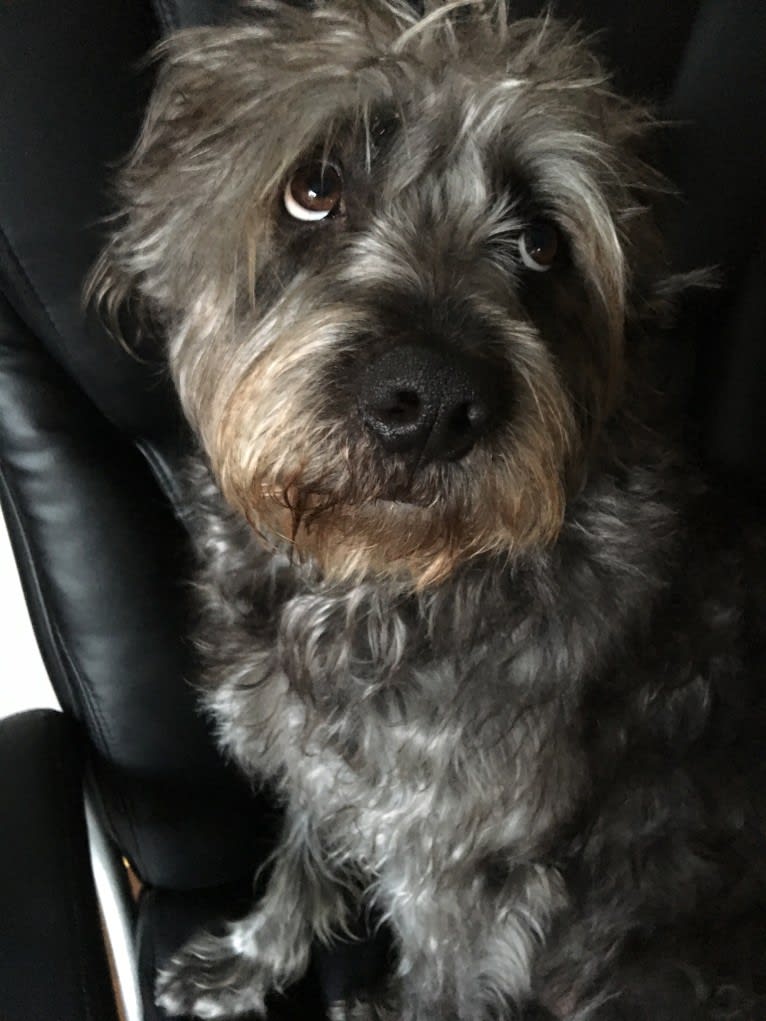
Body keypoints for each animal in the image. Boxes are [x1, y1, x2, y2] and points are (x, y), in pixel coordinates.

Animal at [92, 1, 763, 1021]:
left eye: (542, 243)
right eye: (315, 187)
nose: (434, 401)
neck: (382, 582)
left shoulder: (467, 871)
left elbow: (441, 980)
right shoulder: (326, 766)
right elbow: (300, 856)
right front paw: (251, 959)